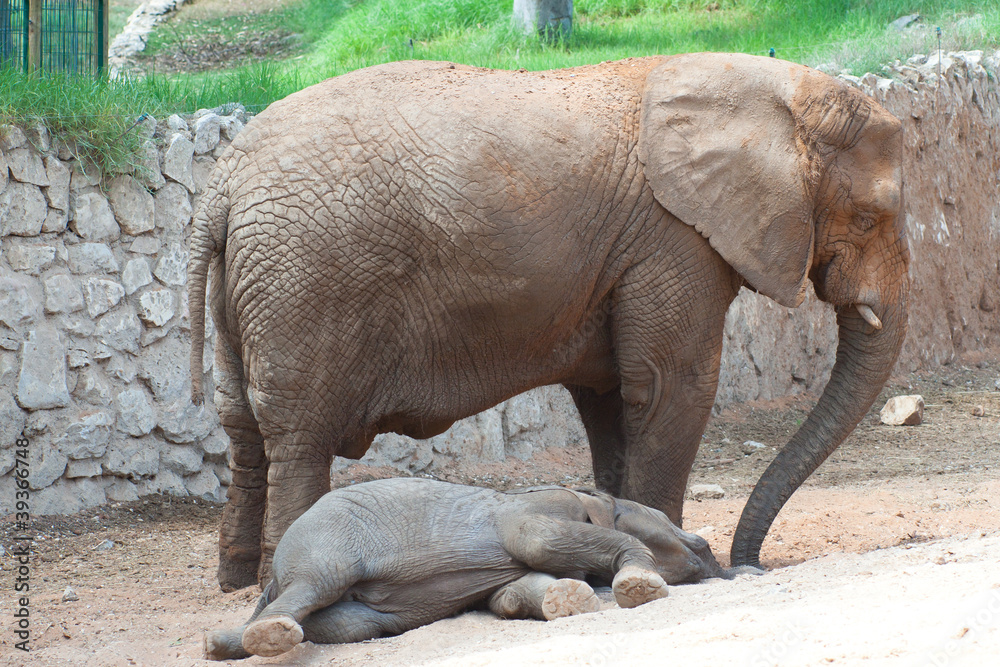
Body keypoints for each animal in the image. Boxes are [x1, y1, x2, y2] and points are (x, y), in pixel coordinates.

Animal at [188, 52, 909, 589]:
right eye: (869, 218)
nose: (749, 563)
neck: (772, 87)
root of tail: (219, 190)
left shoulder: (633, 253)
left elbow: (612, 395)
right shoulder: (673, 238)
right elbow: (672, 386)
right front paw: (678, 563)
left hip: (251, 281)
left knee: (242, 426)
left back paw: (237, 581)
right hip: (304, 280)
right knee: (298, 434)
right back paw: (273, 577)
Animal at [203, 477, 737, 660]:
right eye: (668, 522)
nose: (709, 555)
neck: (595, 496)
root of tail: (274, 577)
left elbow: (511, 591)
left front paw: (571, 597)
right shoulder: (540, 507)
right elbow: (536, 542)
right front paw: (637, 586)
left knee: (348, 622)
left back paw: (231, 642)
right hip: (324, 540)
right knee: (317, 584)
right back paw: (264, 635)